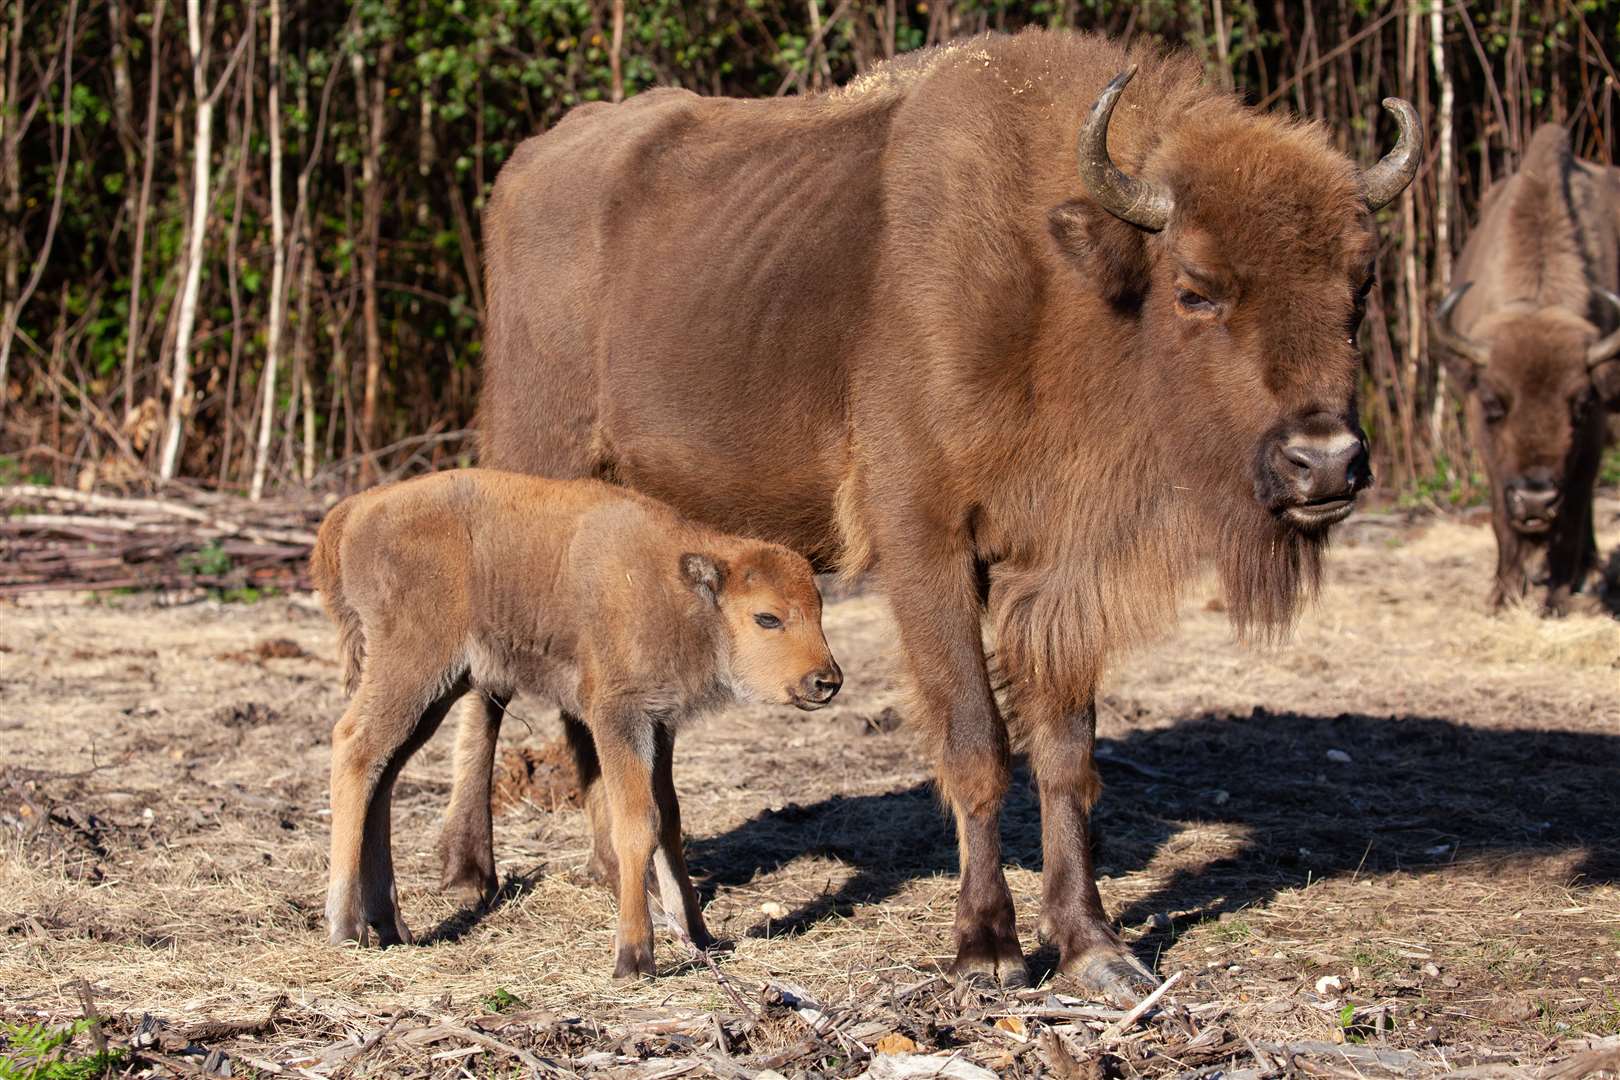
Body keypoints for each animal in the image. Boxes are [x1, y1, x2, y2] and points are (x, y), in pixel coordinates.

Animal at [309, 472, 842, 977]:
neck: (677, 589)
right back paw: (346, 928)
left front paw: (701, 936)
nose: (825, 681)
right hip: (413, 669)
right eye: (767, 618)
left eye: (819, 611)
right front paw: (634, 957)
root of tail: (354, 511)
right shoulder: (618, 718)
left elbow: (669, 820)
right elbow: (637, 823)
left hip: (437, 689)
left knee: (383, 773)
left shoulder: (660, 724)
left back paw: (390, 927)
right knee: (353, 749)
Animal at [447, 27, 1419, 1003]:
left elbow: (1067, 754)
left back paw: (633, 875)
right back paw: (469, 874)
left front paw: (1095, 948)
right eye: (1196, 287)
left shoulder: (1053, 573)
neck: (1055, 280)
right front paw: (987, 948)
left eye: (1359, 285)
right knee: (488, 678)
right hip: (529, 471)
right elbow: (976, 741)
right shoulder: (928, 546)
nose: (1325, 460)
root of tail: (528, 166)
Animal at [1438, 124, 1620, 615]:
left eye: (1581, 405)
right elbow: (1501, 517)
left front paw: (1556, 598)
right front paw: (1503, 595)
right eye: (1493, 403)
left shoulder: (1595, 431)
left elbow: (1575, 510)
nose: (1536, 500)